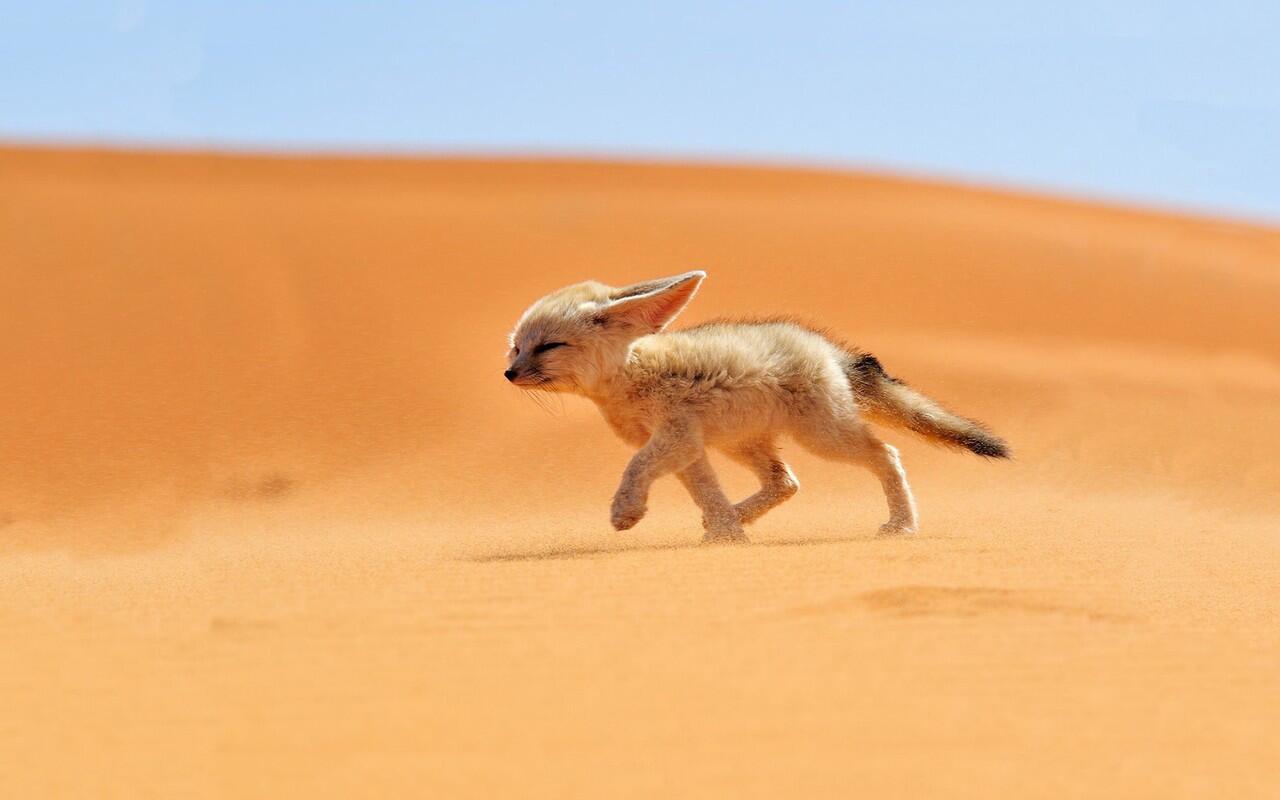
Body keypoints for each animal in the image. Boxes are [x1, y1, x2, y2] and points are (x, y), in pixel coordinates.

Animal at [504, 270, 1003, 542]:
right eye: (516, 347)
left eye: (548, 346)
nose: (509, 374)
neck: (631, 376)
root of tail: (828, 348)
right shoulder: (688, 448)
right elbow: (706, 492)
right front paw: (728, 533)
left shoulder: (675, 437)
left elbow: (636, 467)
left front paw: (626, 511)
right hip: (741, 444)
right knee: (786, 482)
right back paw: (733, 518)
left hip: (823, 438)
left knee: (887, 455)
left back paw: (902, 524)